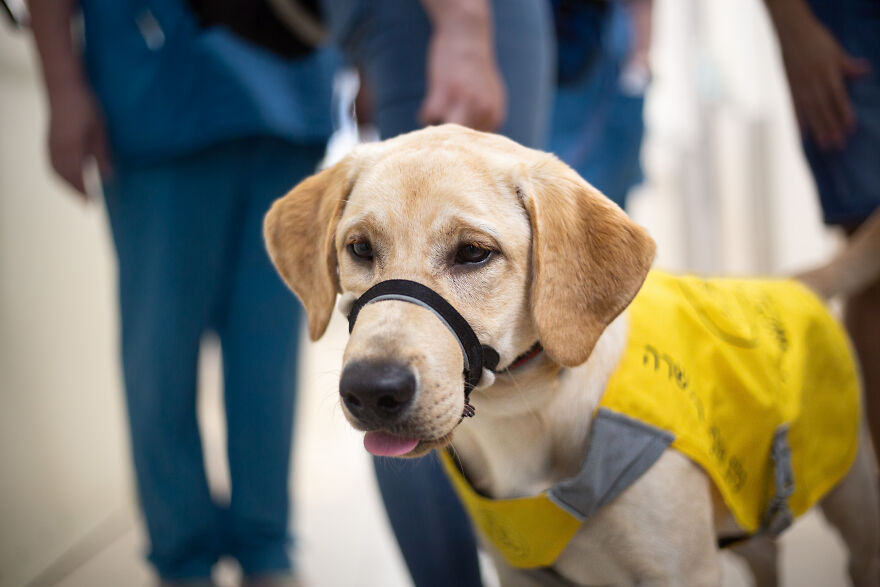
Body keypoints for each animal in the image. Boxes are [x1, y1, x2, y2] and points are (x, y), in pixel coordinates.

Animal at [264, 125, 880, 587]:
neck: (525, 417)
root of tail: (794, 282)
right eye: (359, 248)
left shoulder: (682, 571)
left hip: (854, 503)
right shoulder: (520, 573)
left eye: (473, 253)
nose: (371, 390)